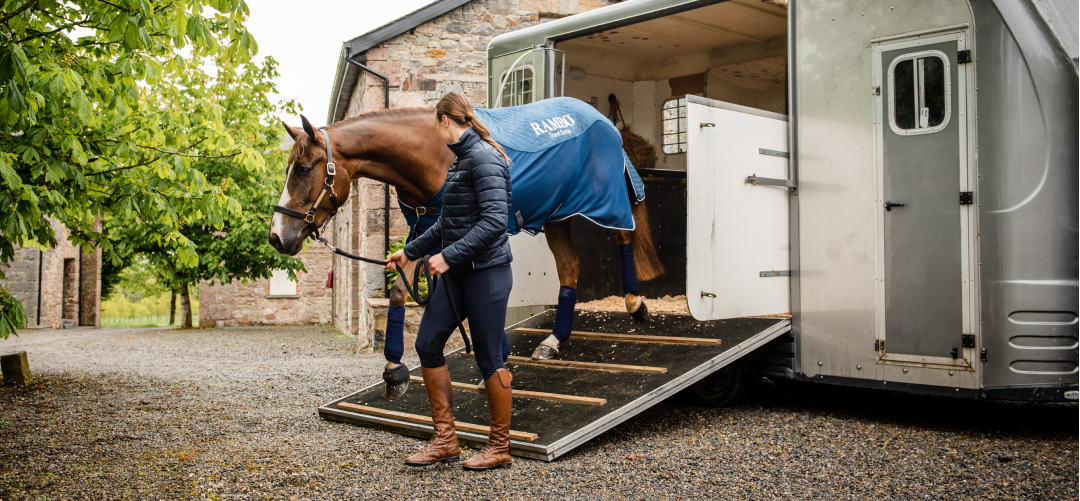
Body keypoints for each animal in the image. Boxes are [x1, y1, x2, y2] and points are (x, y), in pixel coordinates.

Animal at [268, 107, 664, 364]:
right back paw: (553, 340)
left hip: (606, 201)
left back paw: (635, 305)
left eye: (303, 169)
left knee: (623, 237)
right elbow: (400, 291)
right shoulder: (424, 231)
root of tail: (603, 120)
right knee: (570, 267)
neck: (433, 152)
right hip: (557, 215)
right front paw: (394, 367)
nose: (276, 237)